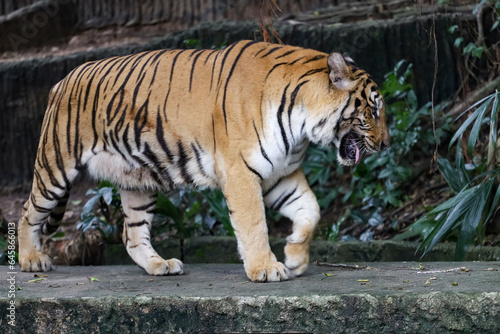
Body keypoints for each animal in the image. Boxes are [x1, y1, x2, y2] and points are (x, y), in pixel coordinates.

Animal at [17, 40, 388, 284]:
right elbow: (254, 224)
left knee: (132, 235)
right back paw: (32, 260)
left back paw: (160, 265)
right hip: (55, 167)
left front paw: (295, 256)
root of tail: (61, 81)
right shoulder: (241, 172)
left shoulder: (281, 174)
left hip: (138, 182)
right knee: (28, 213)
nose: (386, 144)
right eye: (373, 110)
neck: (301, 125)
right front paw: (266, 268)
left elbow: (310, 211)